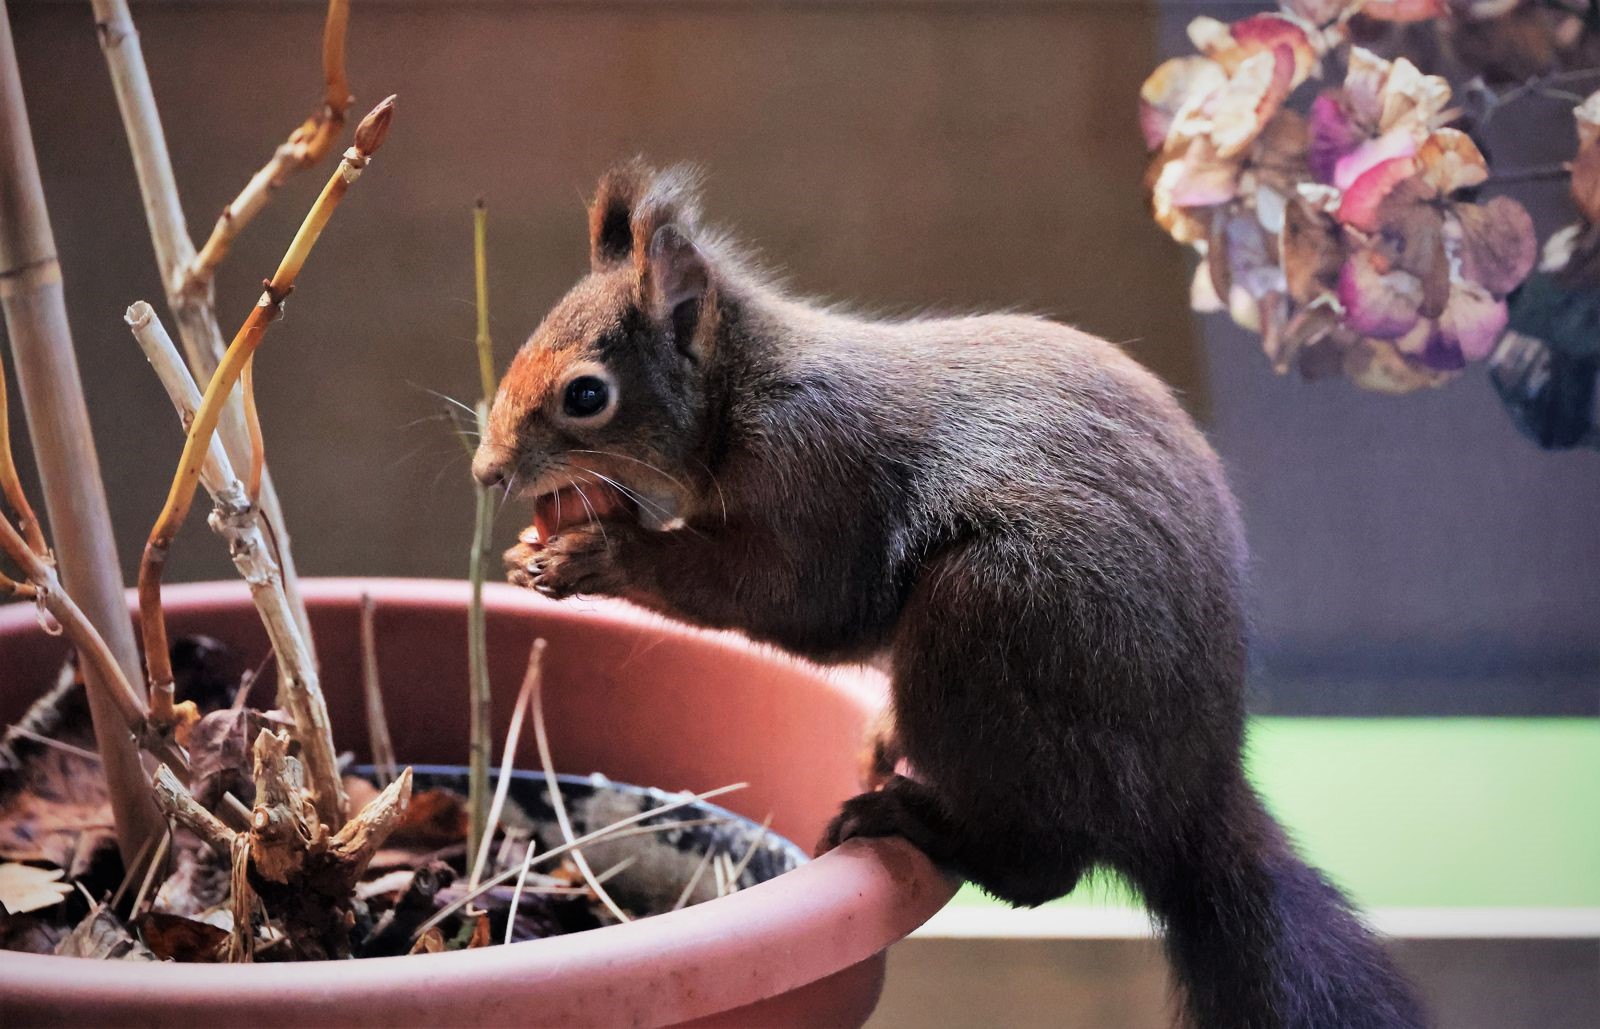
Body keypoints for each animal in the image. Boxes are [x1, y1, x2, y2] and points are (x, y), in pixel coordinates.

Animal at [470, 163, 1427, 1029]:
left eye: (586, 394)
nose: (488, 470)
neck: (742, 390)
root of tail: (1189, 795)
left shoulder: (816, 478)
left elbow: (792, 596)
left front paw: (600, 553)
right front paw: (530, 553)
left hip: (988, 622)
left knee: (1046, 865)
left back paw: (910, 814)